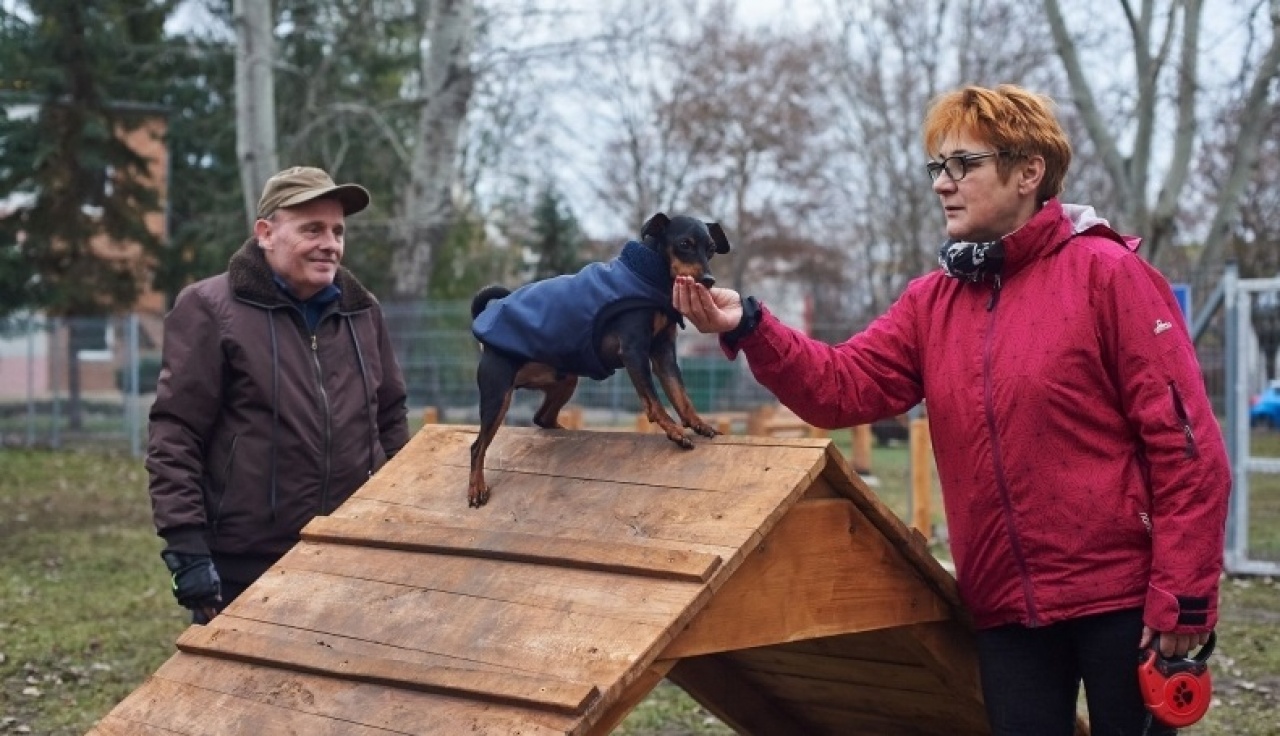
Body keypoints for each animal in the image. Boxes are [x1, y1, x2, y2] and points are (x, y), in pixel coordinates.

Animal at [468, 215, 732, 506]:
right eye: (685, 244)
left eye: (711, 249)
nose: (708, 280)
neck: (649, 275)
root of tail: (483, 324)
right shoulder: (634, 351)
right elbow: (654, 402)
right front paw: (674, 431)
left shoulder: (663, 354)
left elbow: (680, 394)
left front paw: (698, 423)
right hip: (497, 397)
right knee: (477, 447)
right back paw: (476, 488)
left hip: (564, 381)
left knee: (541, 418)